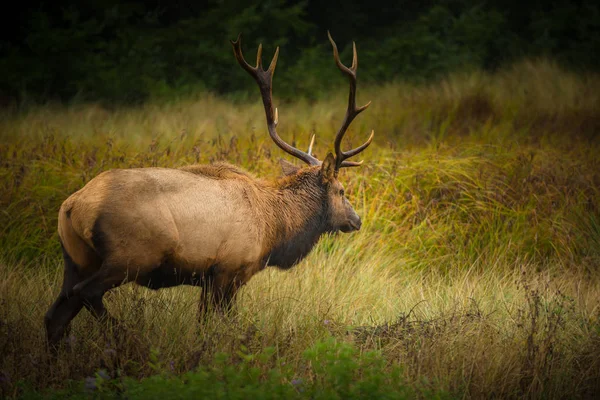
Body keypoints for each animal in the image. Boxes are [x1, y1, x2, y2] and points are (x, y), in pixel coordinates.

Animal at [44, 32, 376, 346]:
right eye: (342, 190)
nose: (356, 220)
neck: (275, 228)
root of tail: (72, 207)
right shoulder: (229, 270)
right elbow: (219, 325)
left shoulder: (208, 278)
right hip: (129, 257)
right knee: (85, 294)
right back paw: (125, 336)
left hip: (76, 259)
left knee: (54, 316)